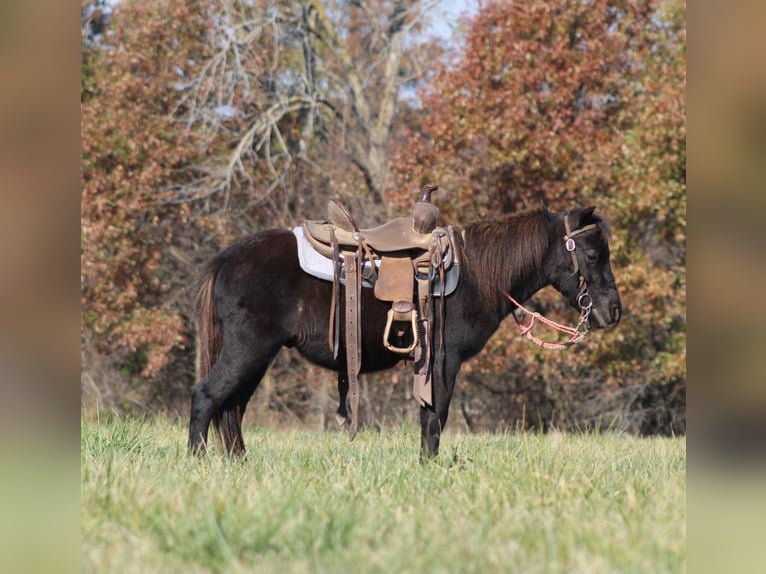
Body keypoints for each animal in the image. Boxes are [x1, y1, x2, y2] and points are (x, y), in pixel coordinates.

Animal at [188, 205, 622, 460]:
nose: (614, 311)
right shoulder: (444, 361)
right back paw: (198, 463)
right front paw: (429, 467)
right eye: (594, 254)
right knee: (208, 397)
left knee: (232, 408)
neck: (478, 273)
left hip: (258, 356)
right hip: (248, 350)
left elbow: (429, 417)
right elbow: (435, 417)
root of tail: (225, 259)